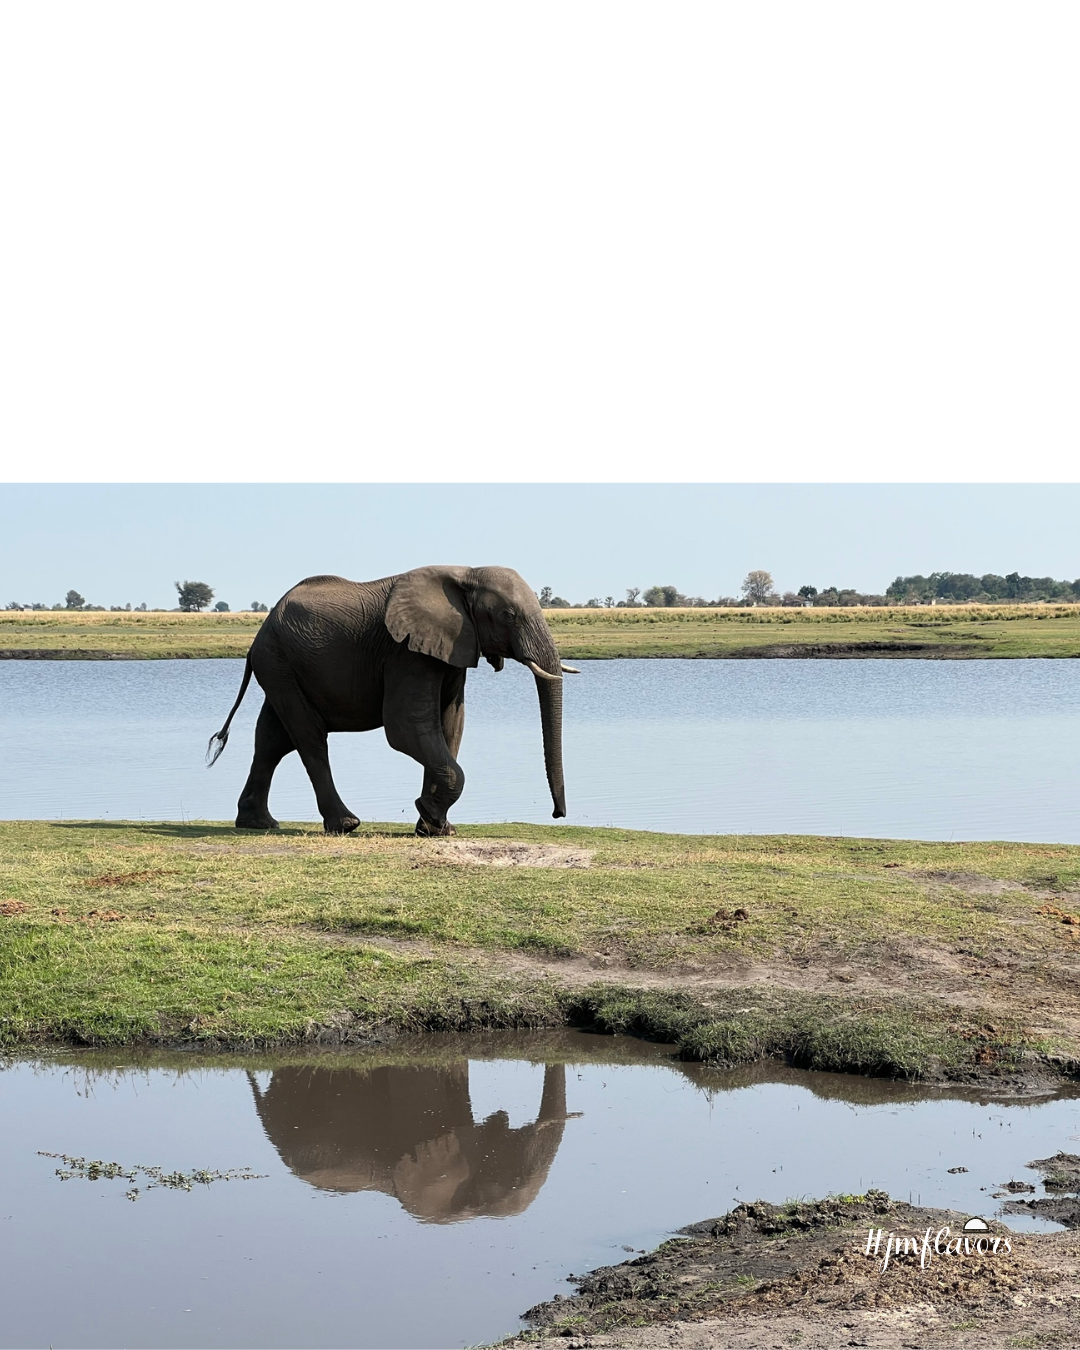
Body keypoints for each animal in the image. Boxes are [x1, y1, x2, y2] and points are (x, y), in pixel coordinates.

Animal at [207, 565, 577, 835]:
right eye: (508, 615)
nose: (558, 814)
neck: (465, 572)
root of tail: (258, 635)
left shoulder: (451, 647)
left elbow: (450, 725)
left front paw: (434, 827)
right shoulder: (405, 652)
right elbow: (407, 728)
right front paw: (429, 815)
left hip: (282, 665)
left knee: (272, 738)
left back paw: (259, 824)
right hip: (278, 661)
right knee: (308, 735)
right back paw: (345, 825)